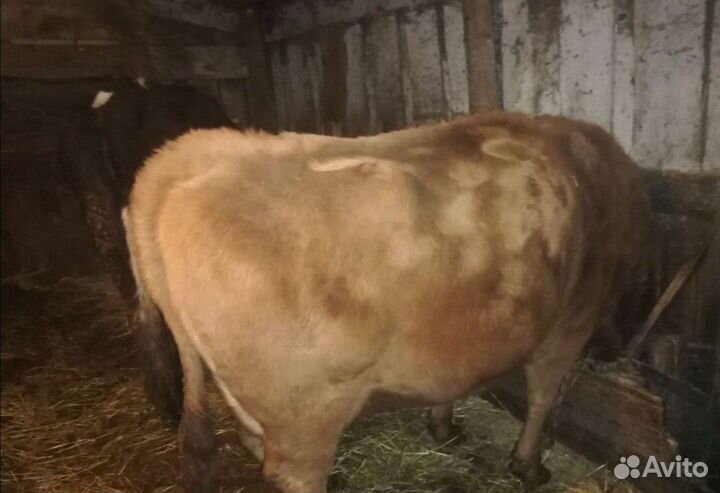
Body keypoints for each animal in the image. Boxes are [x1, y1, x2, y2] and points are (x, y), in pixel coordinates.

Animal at [123, 112, 651, 493]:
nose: (615, 349)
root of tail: (178, 159)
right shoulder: (569, 322)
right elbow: (542, 397)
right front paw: (528, 465)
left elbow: (453, 379)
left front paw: (443, 426)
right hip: (308, 415)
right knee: (291, 473)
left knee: (242, 441)